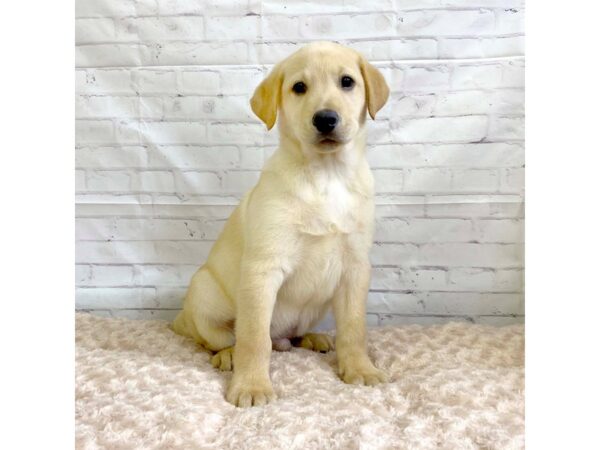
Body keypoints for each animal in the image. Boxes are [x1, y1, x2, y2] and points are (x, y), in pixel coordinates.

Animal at [172, 42, 390, 408]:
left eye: (347, 82)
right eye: (299, 87)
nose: (326, 119)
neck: (326, 174)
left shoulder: (356, 267)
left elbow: (353, 328)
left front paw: (360, 368)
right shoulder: (263, 269)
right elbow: (253, 337)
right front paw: (251, 386)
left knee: (290, 336)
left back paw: (313, 338)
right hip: (203, 292)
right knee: (221, 339)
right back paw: (227, 355)